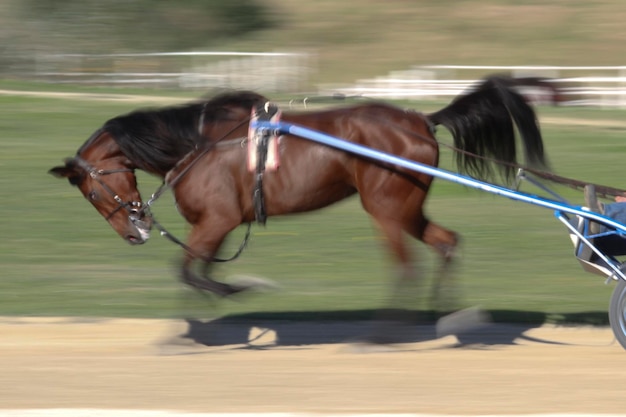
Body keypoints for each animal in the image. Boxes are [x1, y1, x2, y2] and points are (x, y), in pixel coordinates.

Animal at [47, 76, 544, 306]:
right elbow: (195, 273)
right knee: (446, 244)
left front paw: (237, 290)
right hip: (406, 209)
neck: (199, 143)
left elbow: (189, 272)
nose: (135, 232)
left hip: (388, 210)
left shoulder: (216, 221)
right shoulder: (219, 225)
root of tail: (421, 120)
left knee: (409, 267)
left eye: (91, 194)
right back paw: (443, 309)